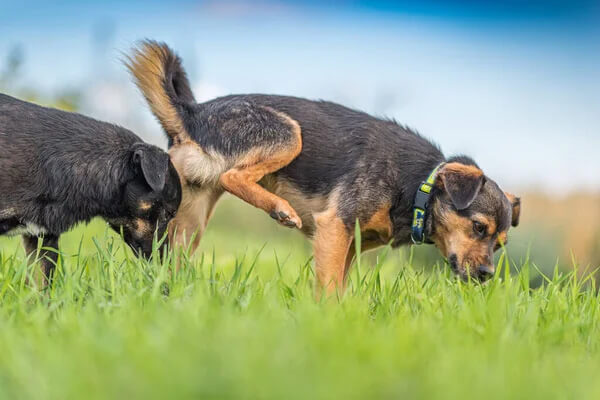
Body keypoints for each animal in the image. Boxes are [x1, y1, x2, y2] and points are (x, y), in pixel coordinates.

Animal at [127, 40, 520, 296]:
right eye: (478, 227)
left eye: (500, 244)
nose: (487, 274)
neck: (419, 188)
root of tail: (193, 113)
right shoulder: (335, 227)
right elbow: (330, 290)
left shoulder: (348, 246)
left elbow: (336, 288)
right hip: (288, 134)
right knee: (232, 174)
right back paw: (280, 209)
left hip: (189, 220)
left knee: (173, 258)